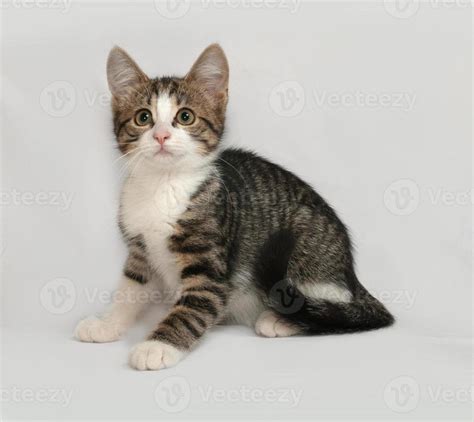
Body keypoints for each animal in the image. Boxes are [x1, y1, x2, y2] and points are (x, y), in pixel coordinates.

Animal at [75, 44, 392, 370]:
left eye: (185, 116)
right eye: (143, 117)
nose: (161, 135)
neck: (163, 185)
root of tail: (350, 273)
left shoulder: (211, 267)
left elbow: (191, 309)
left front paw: (156, 346)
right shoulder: (140, 248)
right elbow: (130, 287)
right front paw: (107, 323)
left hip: (309, 249)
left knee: (325, 309)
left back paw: (279, 320)